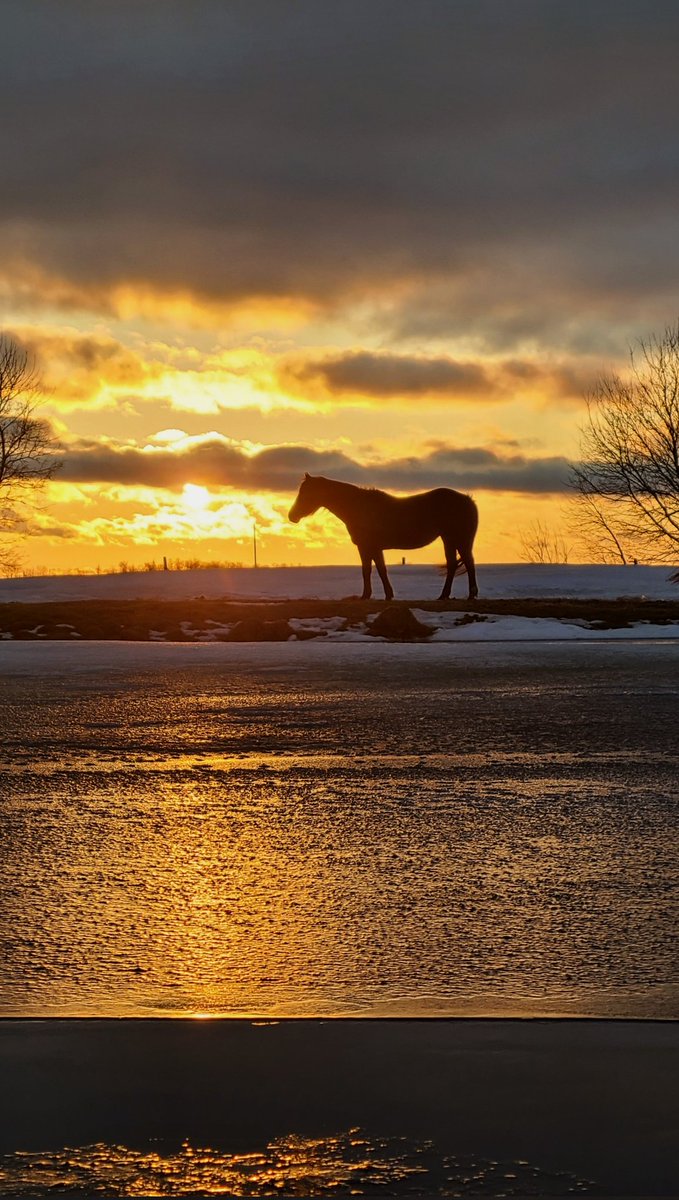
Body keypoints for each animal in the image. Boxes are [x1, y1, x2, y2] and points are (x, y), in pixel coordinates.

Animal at [289, 474, 478, 601]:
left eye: (306, 493)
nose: (292, 516)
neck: (359, 507)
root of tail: (467, 499)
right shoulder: (374, 548)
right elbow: (378, 569)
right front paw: (385, 594)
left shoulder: (367, 547)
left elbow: (370, 570)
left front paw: (368, 595)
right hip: (449, 539)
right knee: (453, 564)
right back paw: (444, 595)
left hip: (459, 539)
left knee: (468, 562)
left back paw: (471, 594)